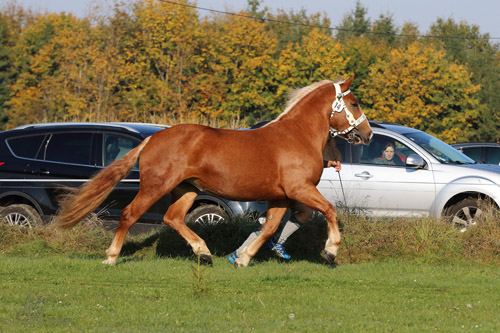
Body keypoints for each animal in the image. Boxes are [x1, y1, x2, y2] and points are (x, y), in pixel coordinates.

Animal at [57, 76, 372, 268]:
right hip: (155, 187)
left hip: (187, 190)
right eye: (354, 103)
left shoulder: (283, 197)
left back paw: (204, 253)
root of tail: (153, 138)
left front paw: (243, 258)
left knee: (173, 218)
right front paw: (331, 251)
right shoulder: (300, 189)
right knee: (129, 214)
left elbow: (270, 227)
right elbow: (330, 210)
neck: (297, 135)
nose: (367, 134)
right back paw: (111, 257)